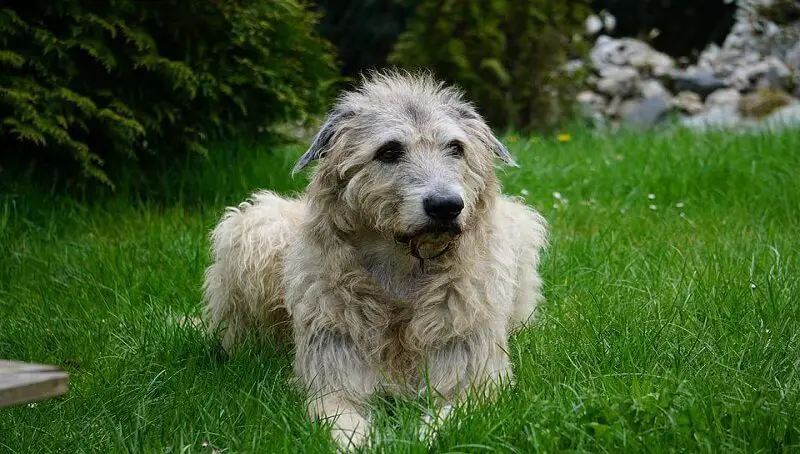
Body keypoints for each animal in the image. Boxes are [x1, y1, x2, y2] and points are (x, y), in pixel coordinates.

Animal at [202, 69, 552, 448]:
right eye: (388, 151)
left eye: (456, 148)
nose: (446, 206)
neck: (402, 269)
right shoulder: (331, 379)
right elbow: (340, 420)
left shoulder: (476, 382)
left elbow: (446, 420)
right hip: (255, 229)